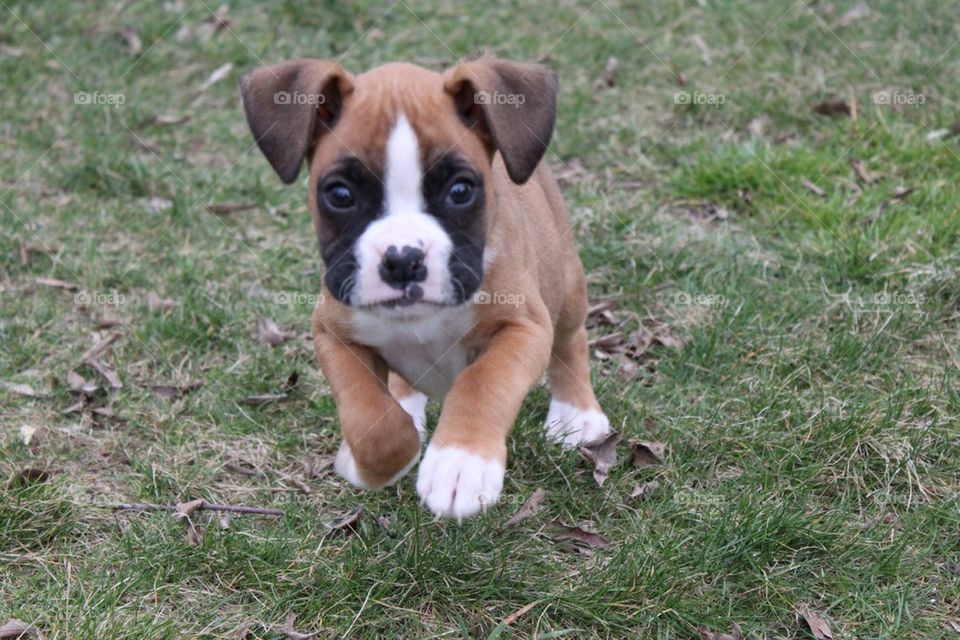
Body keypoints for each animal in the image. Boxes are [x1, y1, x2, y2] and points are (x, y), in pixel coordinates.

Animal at [244, 56, 612, 520]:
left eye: (460, 190)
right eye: (340, 194)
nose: (402, 260)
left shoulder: (523, 328)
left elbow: (482, 382)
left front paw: (461, 463)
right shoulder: (333, 333)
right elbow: (370, 417)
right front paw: (367, 461)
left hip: (565, 281)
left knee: (570, 341)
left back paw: (576, 413)